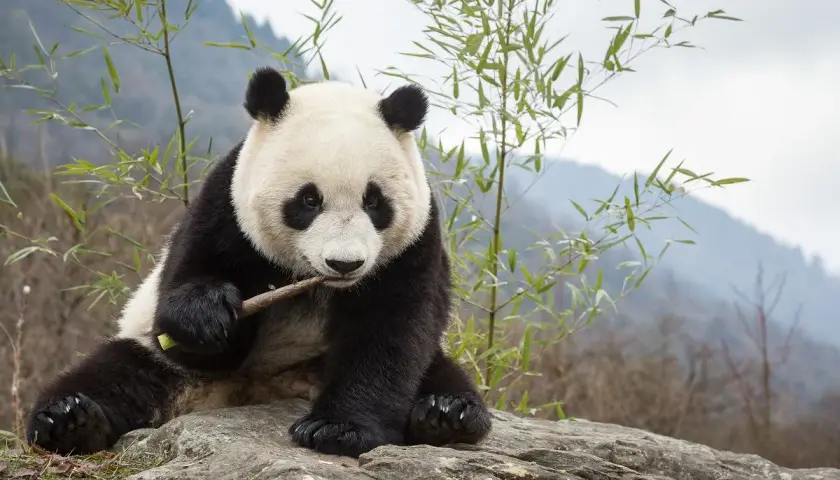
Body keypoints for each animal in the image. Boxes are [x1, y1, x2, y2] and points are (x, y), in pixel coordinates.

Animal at [25, 66, 492, 458]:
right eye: (308, 200)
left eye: (374, 201)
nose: (344, 264)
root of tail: (255, 392)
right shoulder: (224, 206)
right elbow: (189, 298)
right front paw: (209, 316)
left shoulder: (414, 243)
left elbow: (389, 334)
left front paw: (337, 429)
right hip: (159, 362)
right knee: (117, 373)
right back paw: (69, 420)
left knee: (436, 373)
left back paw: (447, 414)